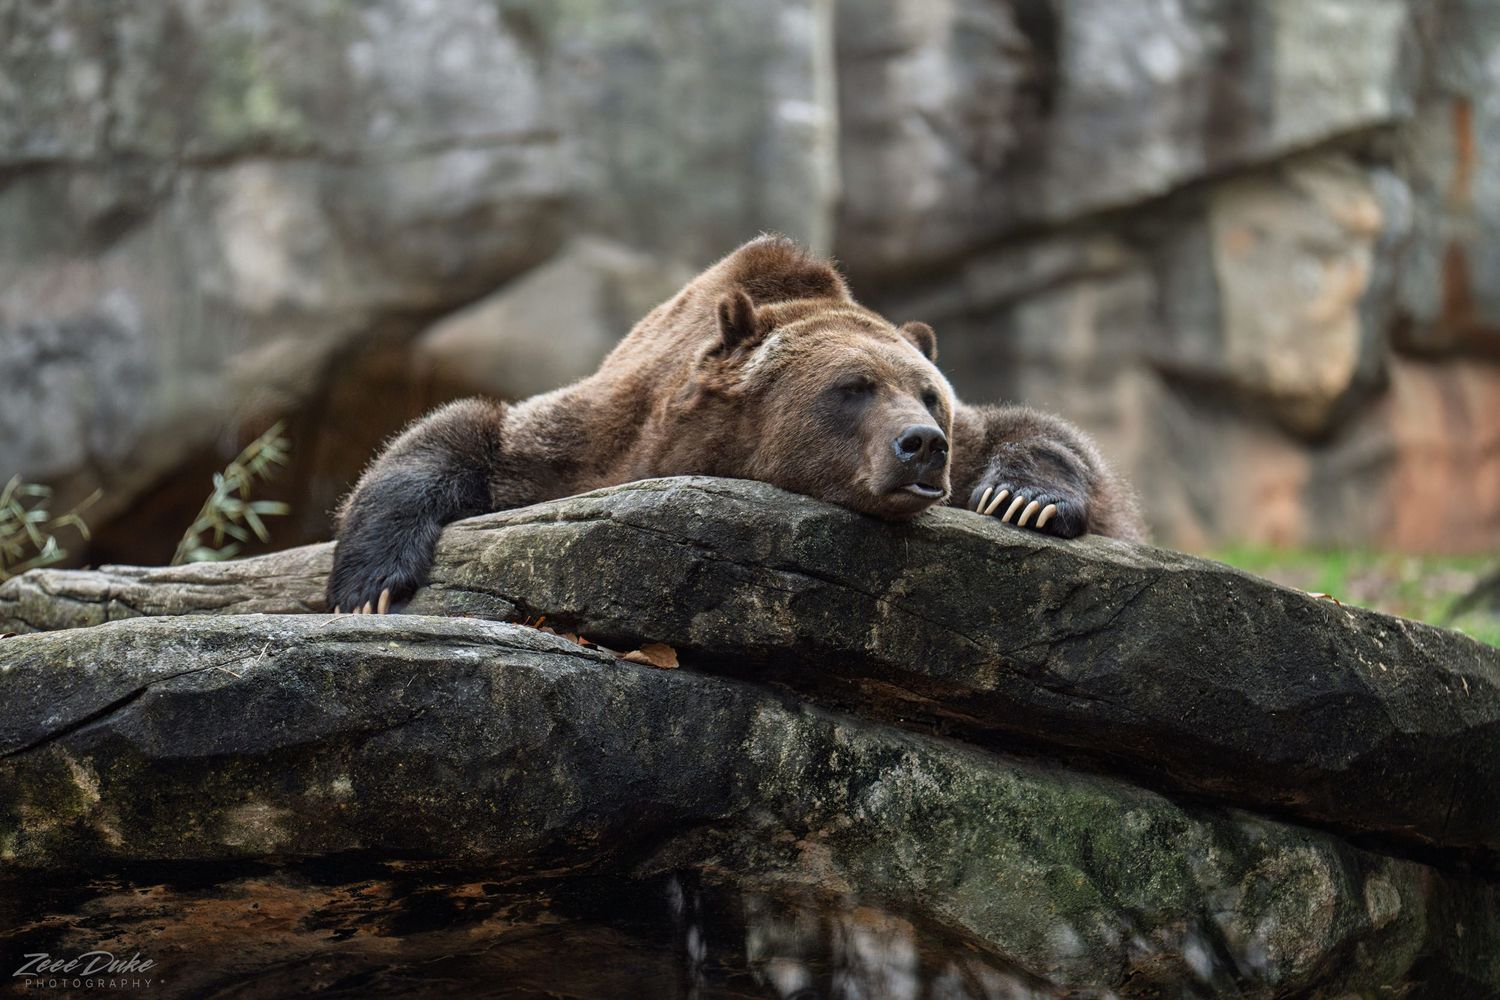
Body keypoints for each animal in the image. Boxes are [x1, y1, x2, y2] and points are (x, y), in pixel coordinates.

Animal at [327, 235, 1144, 613]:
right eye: (853, 388)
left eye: (930, 395)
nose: (922, 446)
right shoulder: (594, 440)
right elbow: (469, 433)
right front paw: (368, 585)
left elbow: (1044, 437)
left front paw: (1025, 500)